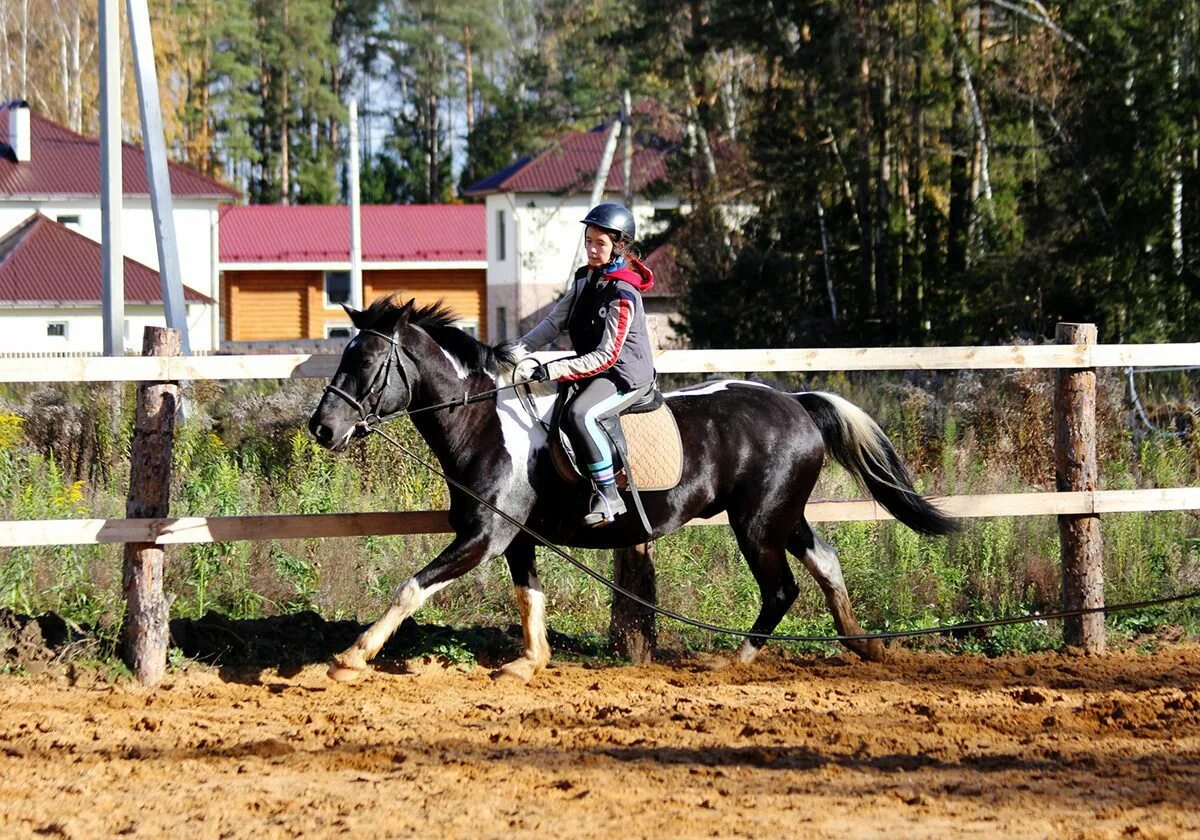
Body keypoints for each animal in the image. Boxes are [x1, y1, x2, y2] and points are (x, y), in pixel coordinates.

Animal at [307, 296, 955, 681]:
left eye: (364, 363)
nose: (322, 428)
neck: (484, 425)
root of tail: (794, 401)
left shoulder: (483, 538)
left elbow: (410, 588)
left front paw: (351, 658)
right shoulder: (515, 538)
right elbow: (529, 596)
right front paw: (530, 662)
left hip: (757, 524)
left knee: (781, 589)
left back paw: (733, 659)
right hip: (781, 515)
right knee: (826, 563)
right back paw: (865, 645)